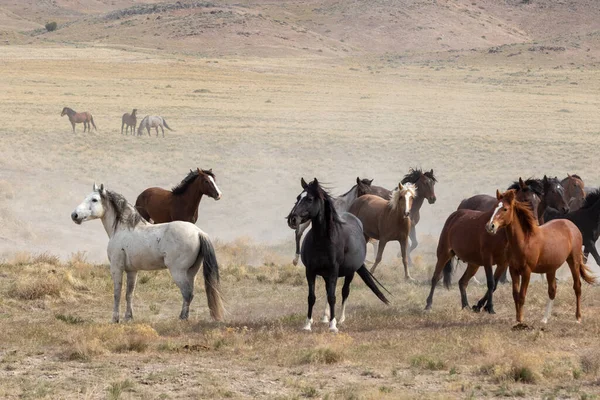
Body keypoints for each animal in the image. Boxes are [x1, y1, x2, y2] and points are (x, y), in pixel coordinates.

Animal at [71, 183, 224, 324]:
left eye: (94, 199)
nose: (74, 215)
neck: (123, 229)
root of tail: (198, 232)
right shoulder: (132, 271)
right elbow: (129, 294)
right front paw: (128, 317)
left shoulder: (116, 268)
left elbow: (117, 293)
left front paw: (115, 319)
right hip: (191, 272)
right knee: (190, 292)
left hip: (178, 272)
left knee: (187, 293)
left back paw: (182, 318)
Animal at [286, 177, 390, 332]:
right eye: (298, 197)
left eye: (309, 199)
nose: (292, 219)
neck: (323, 240)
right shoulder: (310, 271)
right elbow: (311, 297)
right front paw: (307, 324)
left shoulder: (334, 271)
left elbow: (332, 297)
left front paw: (333, 325)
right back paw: (325, 316)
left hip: (350, 272)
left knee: (344, 291)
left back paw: (341, 318)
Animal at [488, 190, 596, 324]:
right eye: (494, 207)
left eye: (505, 209)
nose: (490, 226)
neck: (524, 240)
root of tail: (572, 226)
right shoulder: (514, 270)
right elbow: (515, 295)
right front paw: (517, 319)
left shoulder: (526, 271)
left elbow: (522, 296)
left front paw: (521, 320)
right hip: (551, 268)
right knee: (552, 290)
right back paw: (545, 319)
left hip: (573, 261)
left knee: (577, 287)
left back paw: (578, 317)